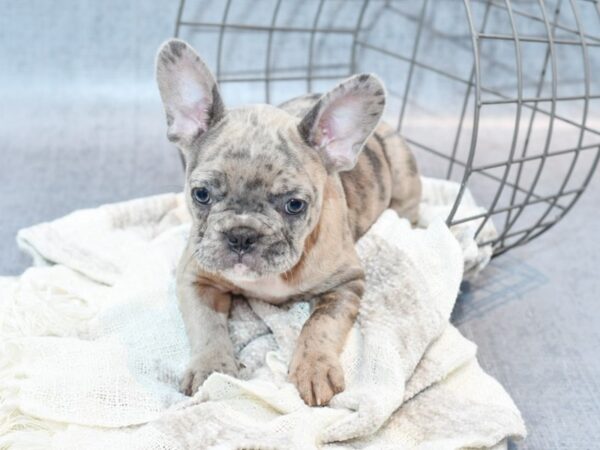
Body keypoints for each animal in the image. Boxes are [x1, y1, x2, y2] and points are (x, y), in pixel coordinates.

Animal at [157, 39, 420, 408]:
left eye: (295, 205)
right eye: (201, 194)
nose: (242, 235)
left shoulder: (346, 283)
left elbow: (319, 324)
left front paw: (314, 368)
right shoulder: (196, 277)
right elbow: (206, 324)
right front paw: (211, 368)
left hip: (404, 176)